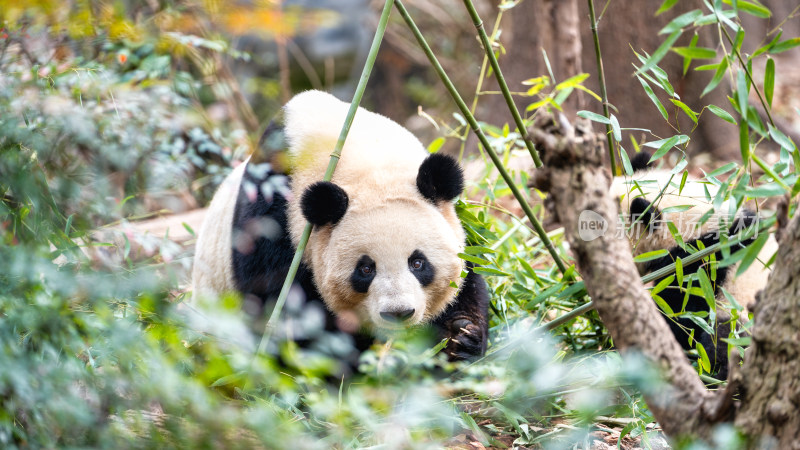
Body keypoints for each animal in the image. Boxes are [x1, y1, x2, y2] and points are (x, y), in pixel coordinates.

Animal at [193, 90, 488, 366]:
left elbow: (469, 278)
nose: (398, 313)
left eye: (418, 263)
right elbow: (286, 315)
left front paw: (460, 337)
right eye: (365, 269)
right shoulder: (273, 214)